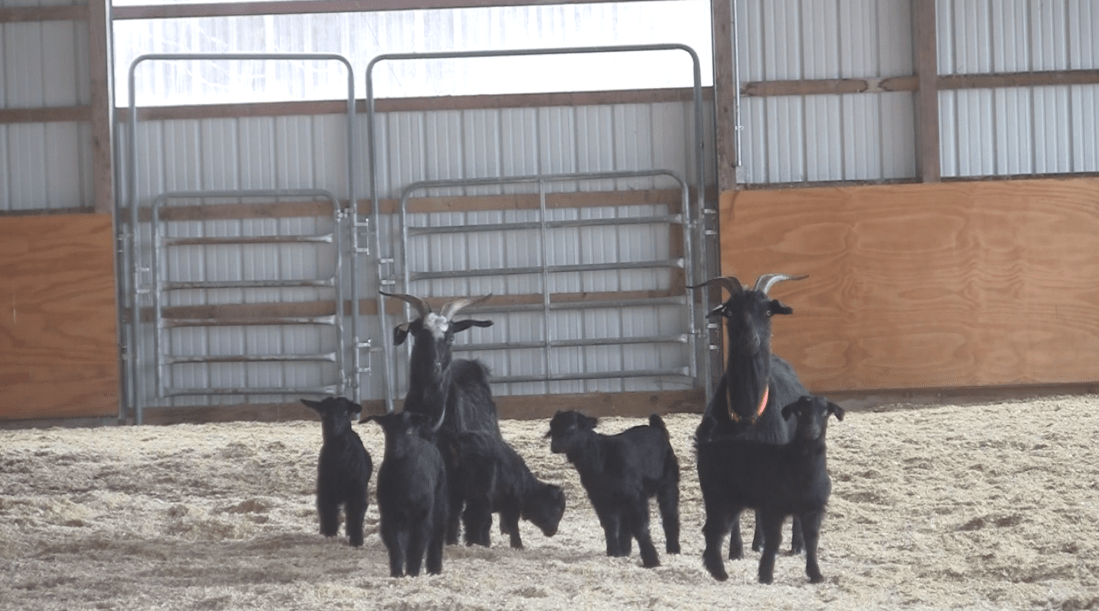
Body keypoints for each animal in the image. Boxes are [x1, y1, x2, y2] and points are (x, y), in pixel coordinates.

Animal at [300, 397, 372, 547]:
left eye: (345, 412)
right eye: (323, 413)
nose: (333, 426)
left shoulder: (358, 491)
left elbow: (356, 515)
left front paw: (356, 541)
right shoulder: (325, 490)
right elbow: (328, 512)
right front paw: (329, 535)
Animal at [363, 410, 448, 577]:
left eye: (408, 429)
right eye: (386, 429)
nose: (394, 449)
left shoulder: (421, 516)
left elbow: (417, 545)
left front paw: (412, 572)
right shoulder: (388, 516)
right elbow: (395, 546)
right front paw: (397, 574)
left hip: (439, 505)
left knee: (436, 535)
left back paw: (434, 569)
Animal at [546, 410, 680, 568]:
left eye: (572, 427)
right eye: (553, 427)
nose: (555, 446)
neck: (601, 458)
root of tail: (655, 427)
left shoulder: (634, 495)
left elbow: (640, 527)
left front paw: (651, 560)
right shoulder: (598, 497)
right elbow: (609, 524)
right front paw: (613, 552)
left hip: (668, 483)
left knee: (670, 514)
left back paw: (673, 549)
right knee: (625, 523)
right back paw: (624, 549)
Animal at [690, 273, 809, 558]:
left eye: (767, 312)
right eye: (730, 312)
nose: (749, 341)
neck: (746, 413)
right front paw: (736, 550)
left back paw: (796, 545)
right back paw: (758, 542)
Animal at [696, 395, 844, 584]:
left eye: (825, 413)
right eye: (800, 412)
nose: (811, 430)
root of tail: (704, 447)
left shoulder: (813, 509)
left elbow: (812, 541)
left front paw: (816, 575)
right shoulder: (773, 508)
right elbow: (774, 540)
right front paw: (766, 575)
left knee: (713, 531)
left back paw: (715, 570)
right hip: (719, 498)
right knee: (714, 531)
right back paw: (720, 573)